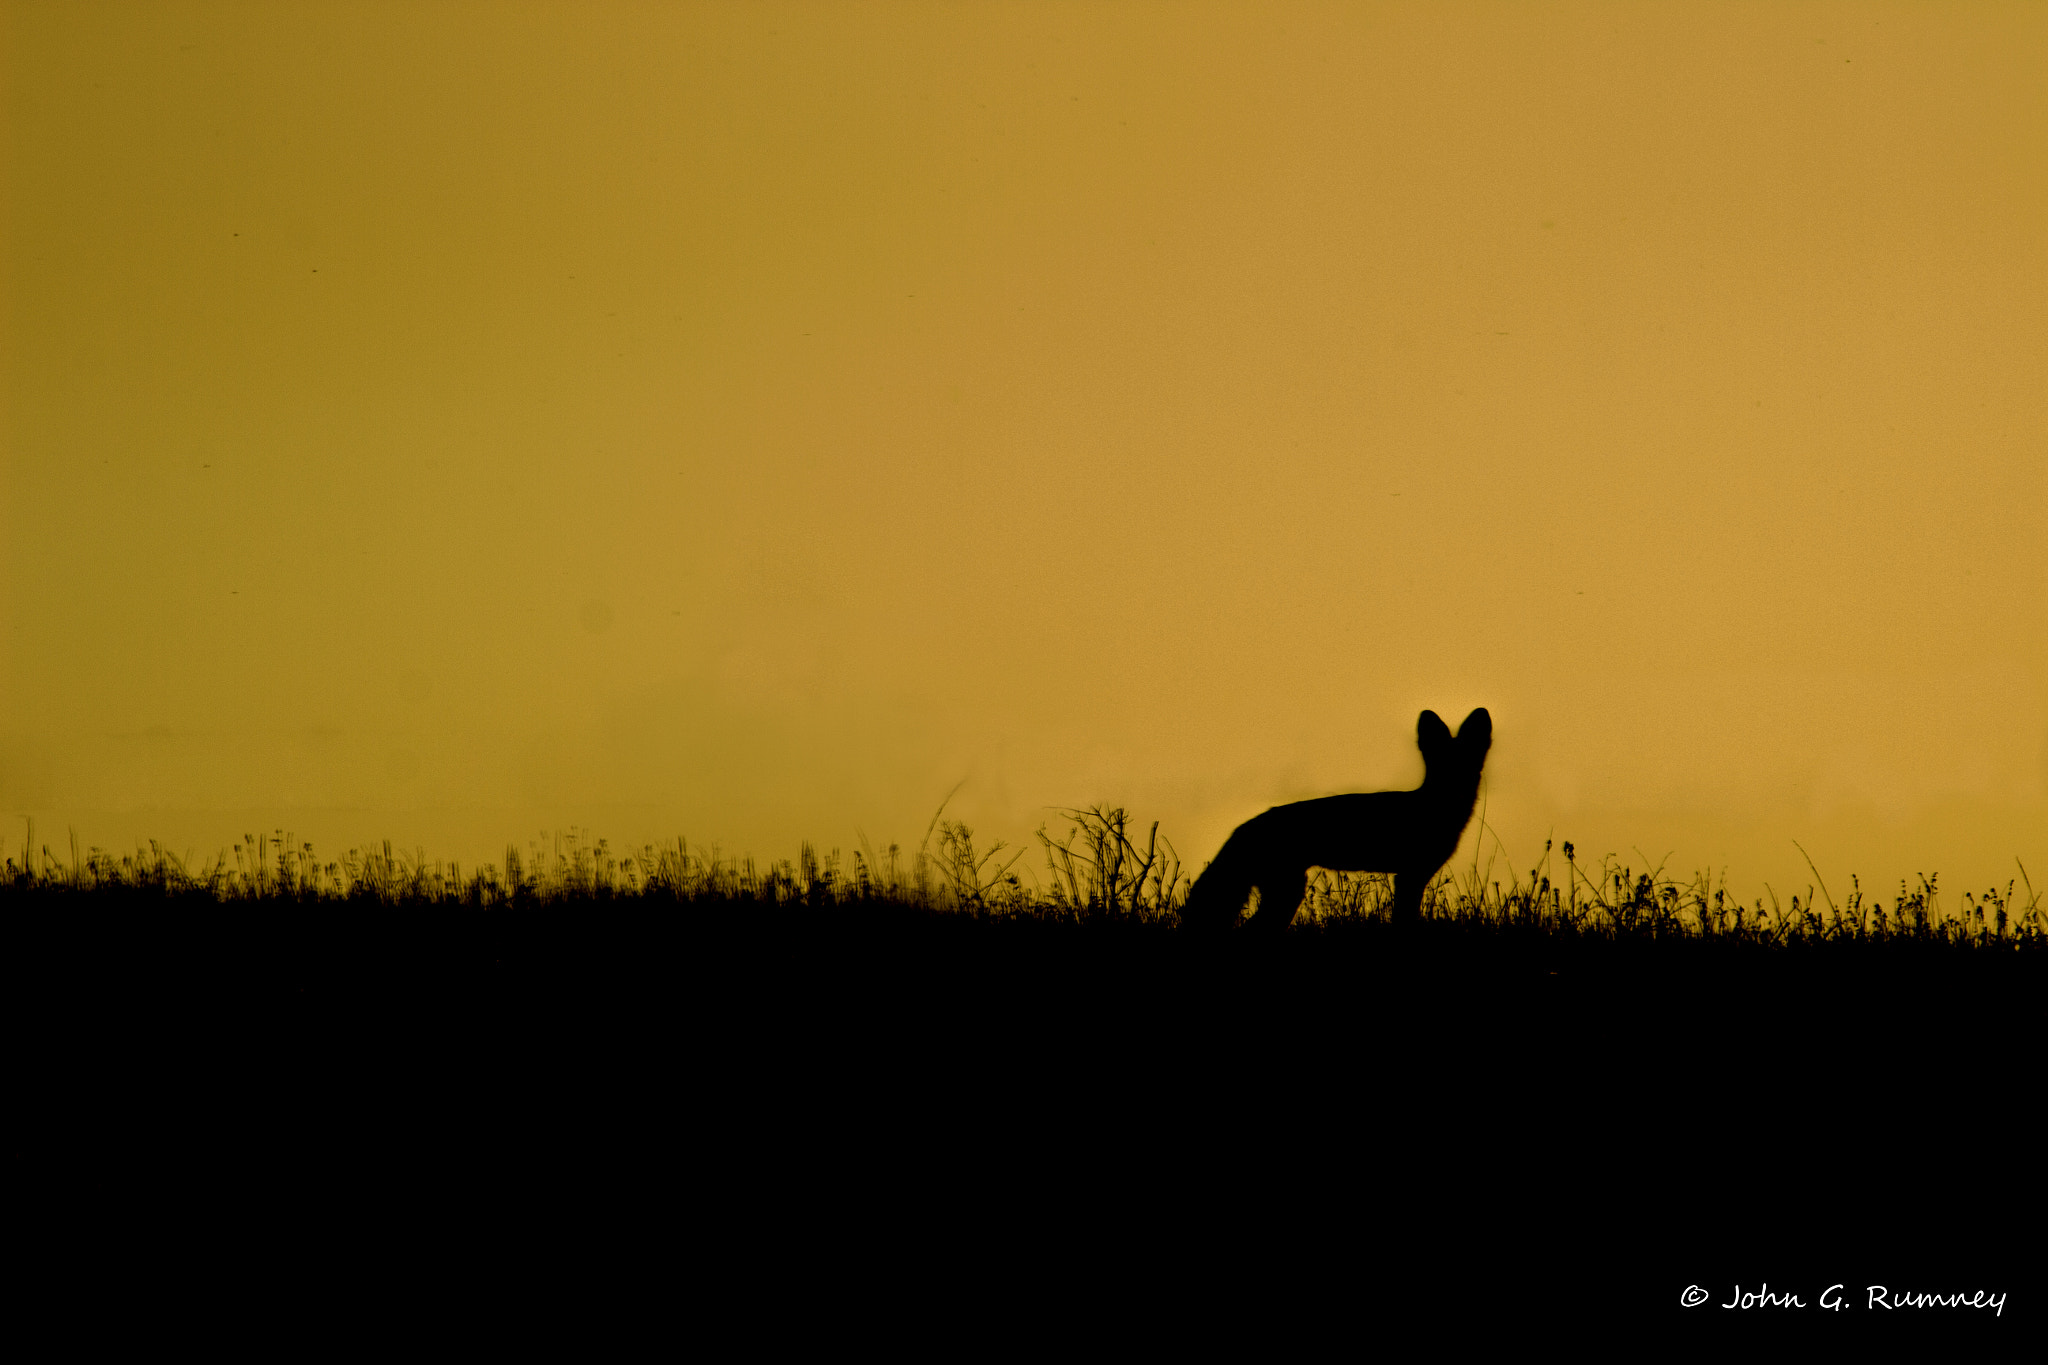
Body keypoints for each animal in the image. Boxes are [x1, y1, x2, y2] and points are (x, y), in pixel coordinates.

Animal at [1180, 707, 1492, 933]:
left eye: (1468, 765)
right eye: (1443, 766)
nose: (1458, 788)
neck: (1434, 810)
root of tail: (1243, 827)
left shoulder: (1413, 876)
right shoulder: (1409, 876)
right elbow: (1405, 922)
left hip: (1285, 893)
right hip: (1288, 893)